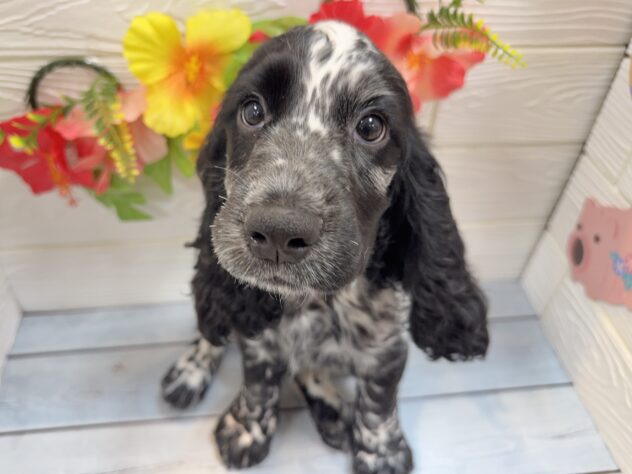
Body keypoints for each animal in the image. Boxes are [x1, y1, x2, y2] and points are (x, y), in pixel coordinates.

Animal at [161, 20, 488, 474]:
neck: (315, 300)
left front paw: (381, 452)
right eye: (252, 111)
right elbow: (258, 383)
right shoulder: (258, 338)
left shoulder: (386, 348)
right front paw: (245, 430)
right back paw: (191, 373)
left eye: (371, 126)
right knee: (213, 332)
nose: (278, 231)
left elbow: (378, 401)